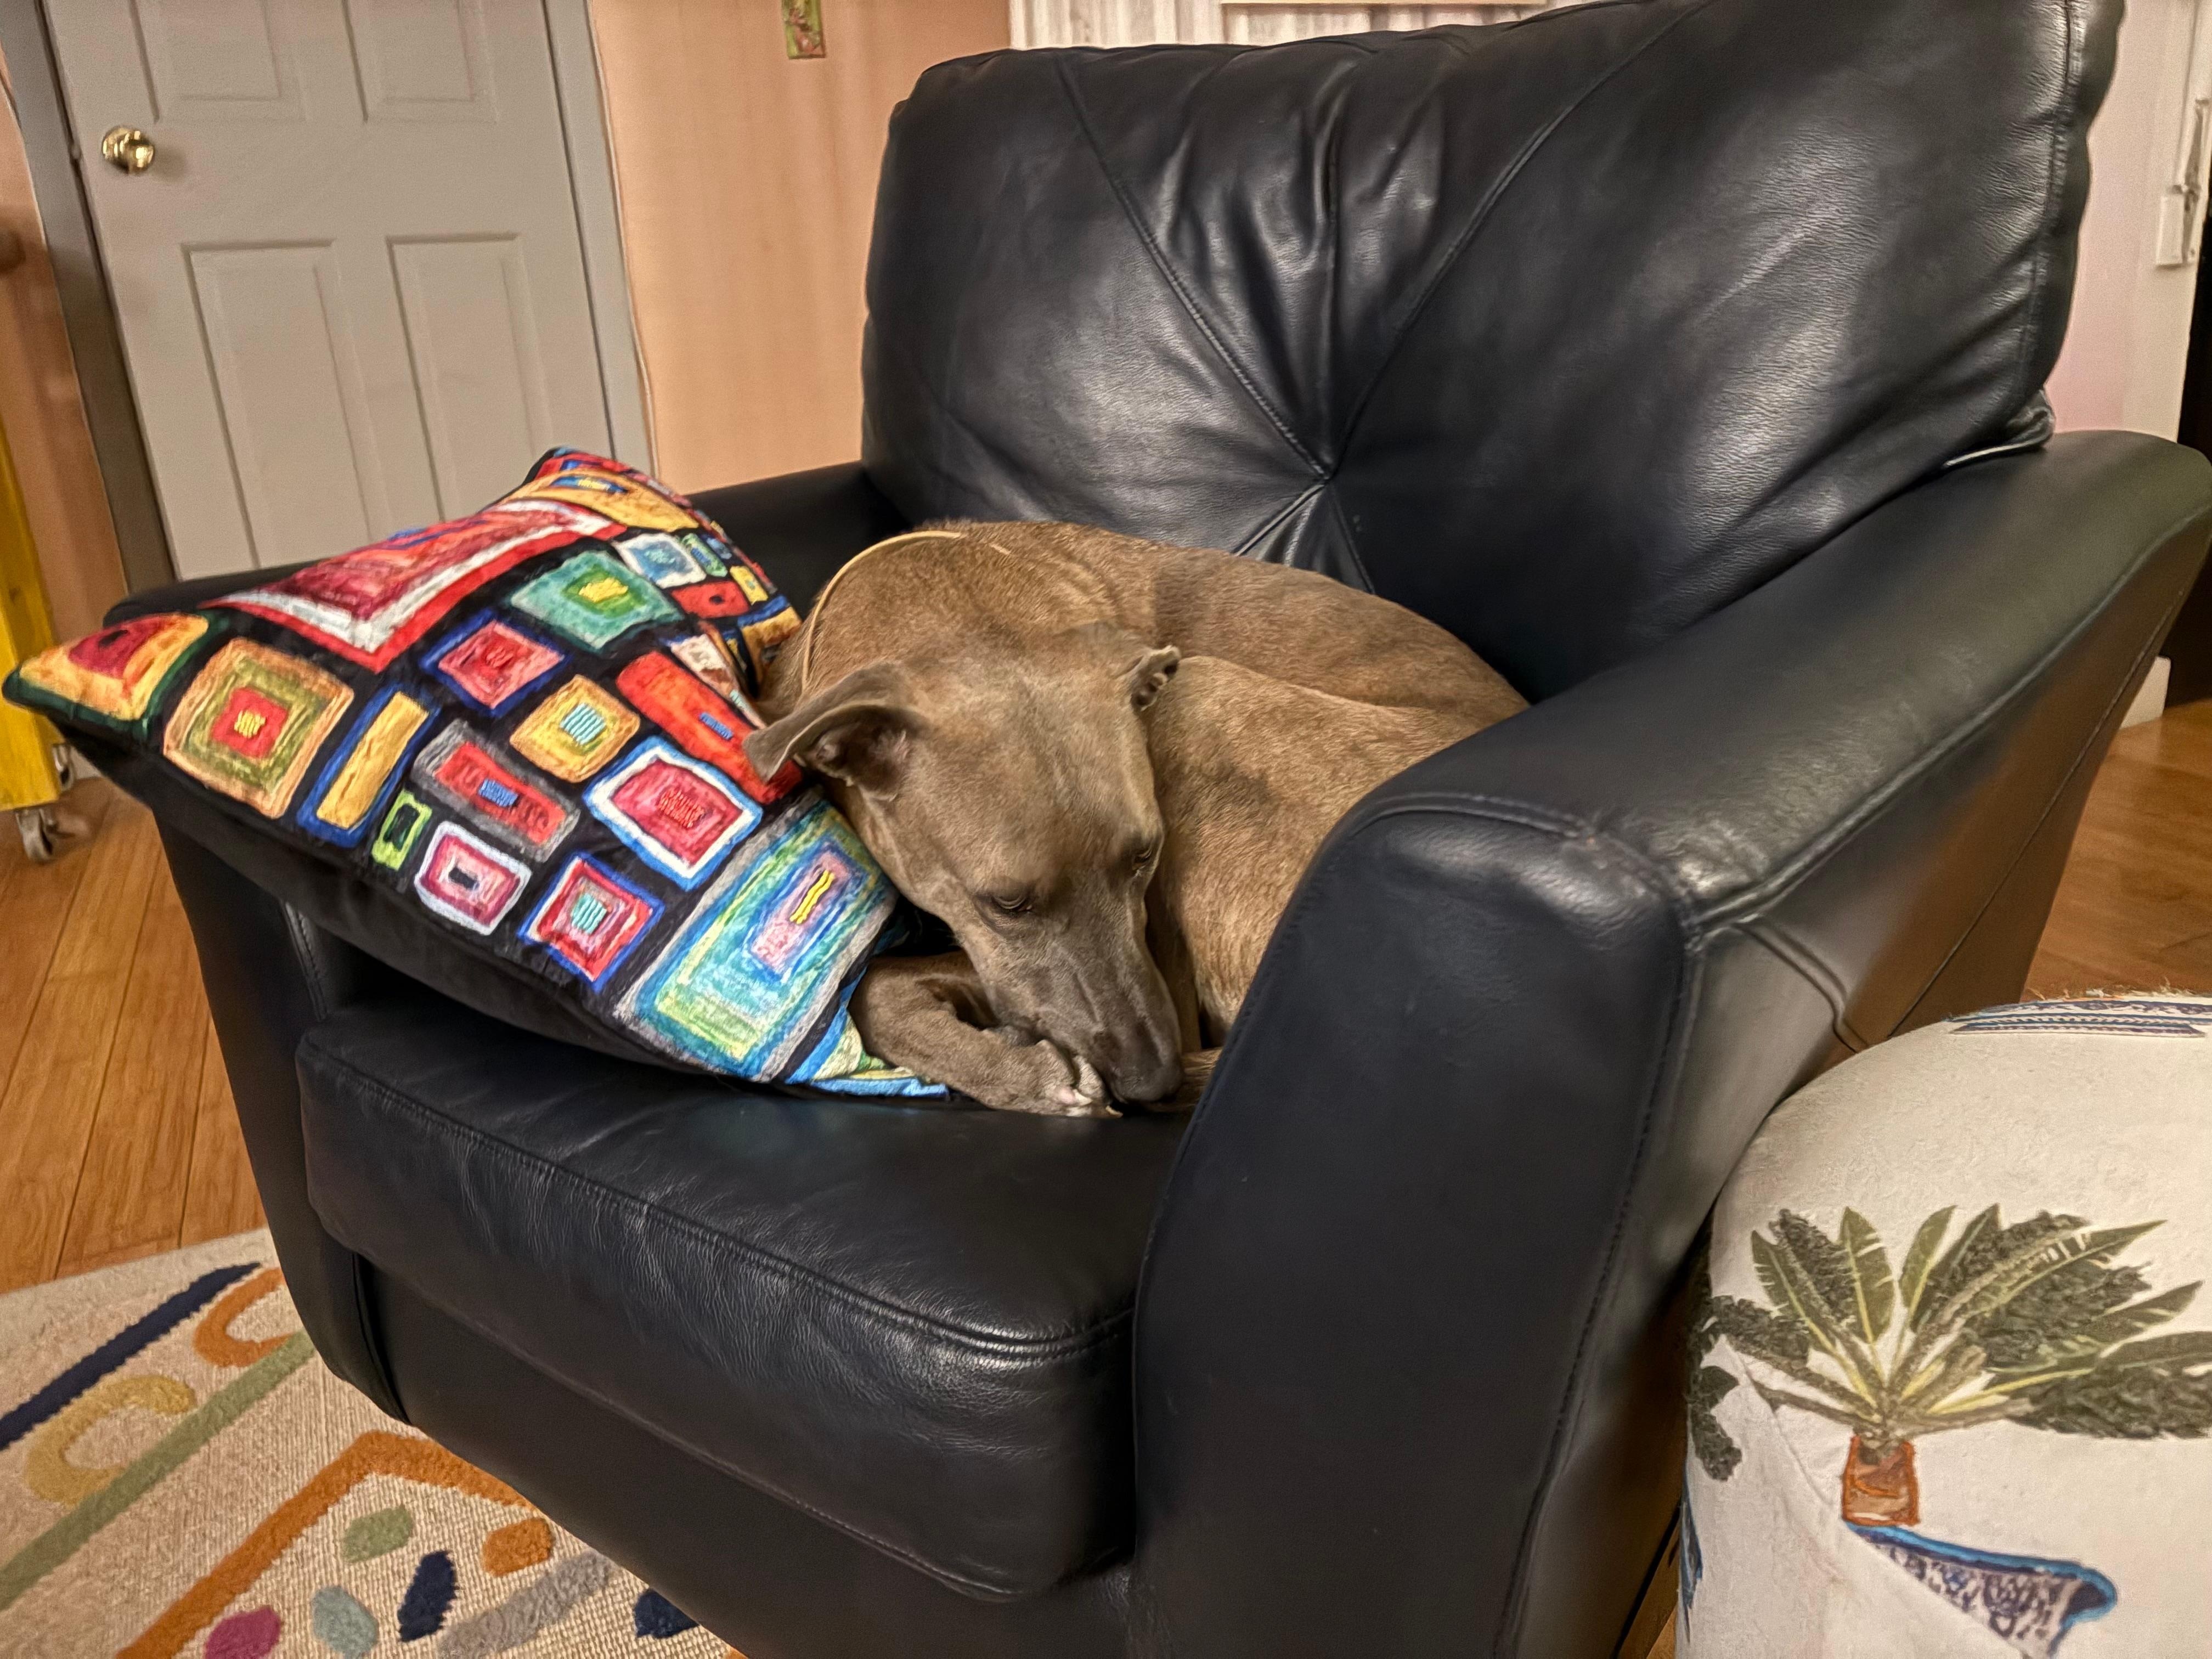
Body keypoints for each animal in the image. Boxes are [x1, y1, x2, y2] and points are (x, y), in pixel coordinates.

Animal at [745, 523, 1525, 1115]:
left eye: (1145, 857)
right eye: (1006, 903)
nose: (1152, 1081)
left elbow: (876, 986)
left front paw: (1021, 1071)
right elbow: (881, 989)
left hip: (1196, 700)